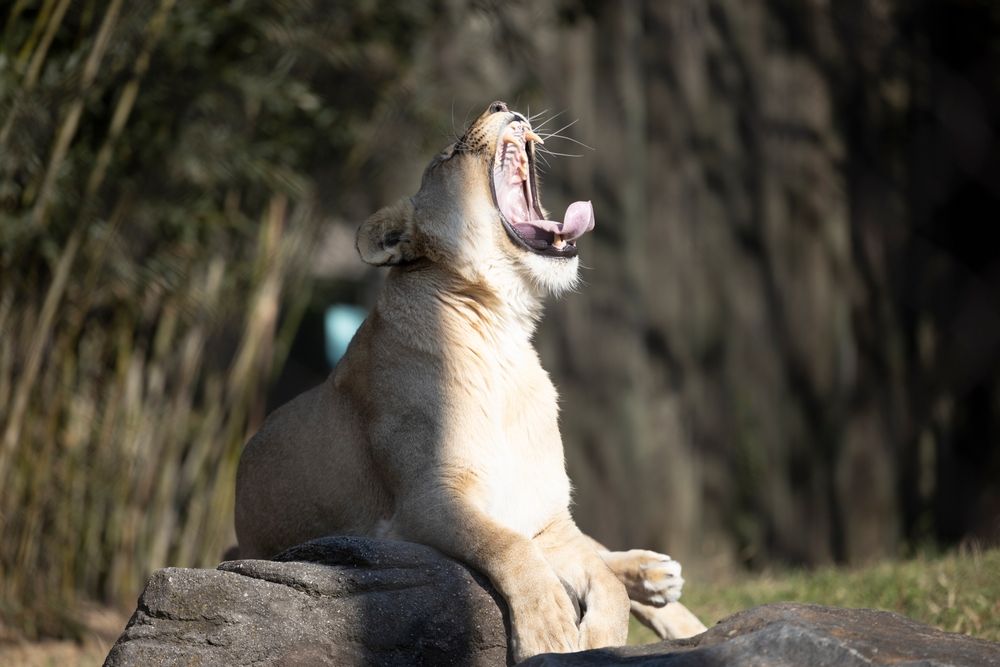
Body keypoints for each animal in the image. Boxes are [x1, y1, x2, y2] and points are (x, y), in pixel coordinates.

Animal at [234, 101, 706, 661]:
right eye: (449, 154)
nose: (501, 105)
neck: (502, 333)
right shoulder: (426, 502)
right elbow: (508, 545)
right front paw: (549, 632)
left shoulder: (545, 514)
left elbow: (601, 580)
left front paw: (599, 639)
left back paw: (660, 581)